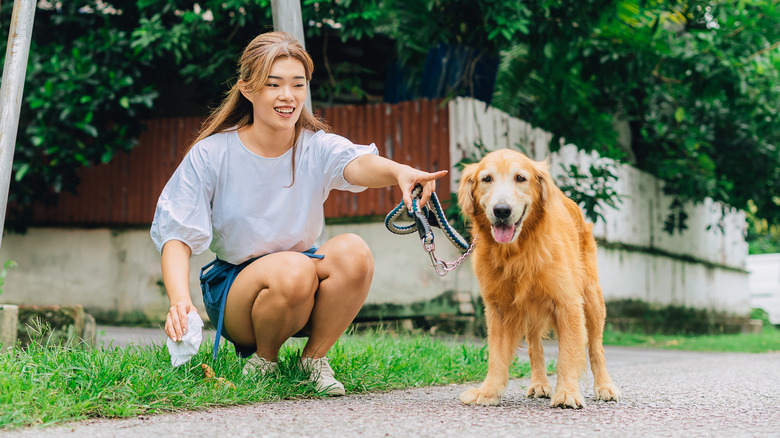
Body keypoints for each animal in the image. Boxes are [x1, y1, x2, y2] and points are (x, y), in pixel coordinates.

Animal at [458, 149, 620, 408]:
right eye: (486, 179)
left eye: (520, 178)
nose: (501, 210)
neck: (517, 251)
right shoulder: (498, 308)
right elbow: (496, 355)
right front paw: (489, 391)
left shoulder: (568, 303)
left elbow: (568, 354)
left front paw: (567, 393)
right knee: (535, 346)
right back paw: (539, 384)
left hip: (592, 298)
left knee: (596, 347)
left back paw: (605, 387)